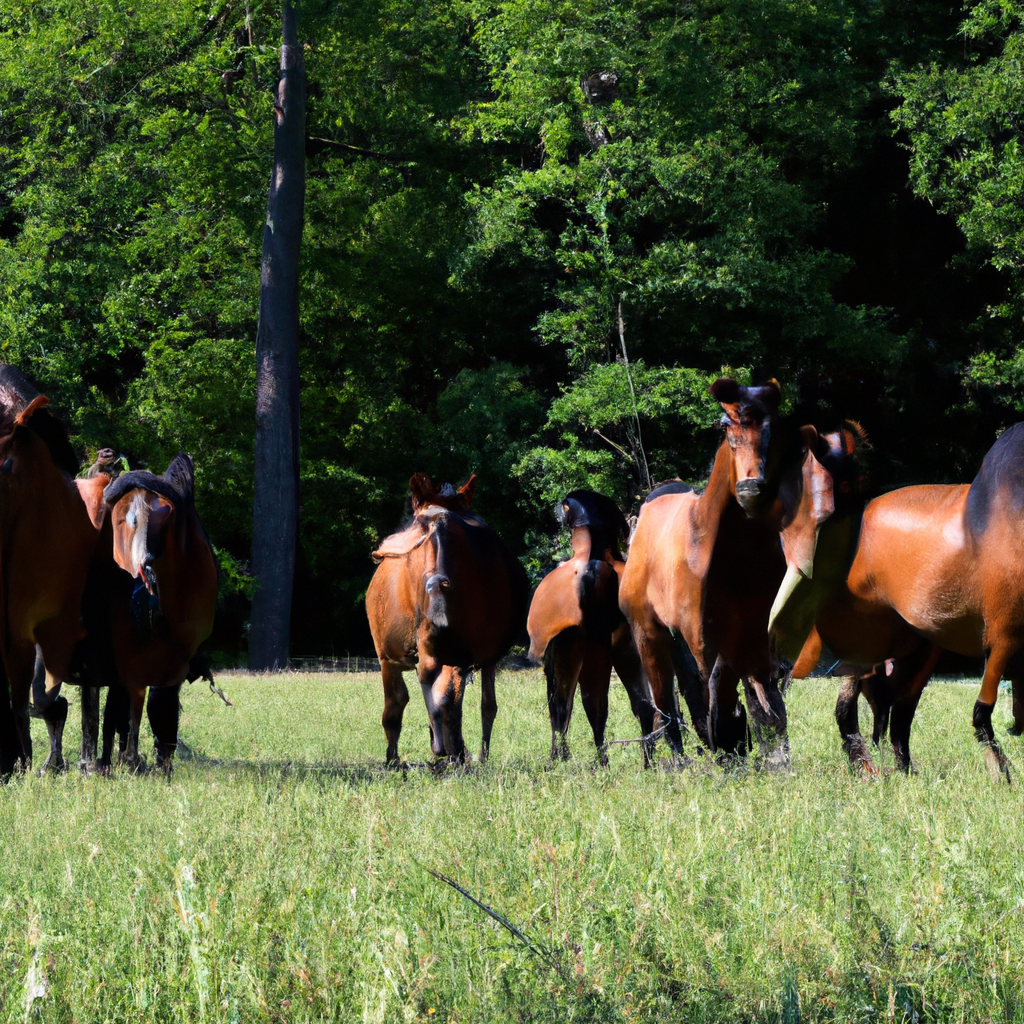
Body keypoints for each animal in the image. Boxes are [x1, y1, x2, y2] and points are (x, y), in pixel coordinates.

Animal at [366, 475, 528, 765]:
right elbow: (483, 705)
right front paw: (473, 753)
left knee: (404, 701)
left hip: (400, 653)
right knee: (446, 697)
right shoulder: (477, 655)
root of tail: (437, 522)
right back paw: (453, 751)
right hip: (449, 651)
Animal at [524, 491, 651, 765]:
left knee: (565, 708)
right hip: (621, 649)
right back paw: (644, 761)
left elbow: (561, 711)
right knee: (636, 704)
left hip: (575, 651)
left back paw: (560, 760)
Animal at [618, 380, 835, 765]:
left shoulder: (758, 634)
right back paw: (675, 760)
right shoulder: (702, 639)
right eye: (725, 426)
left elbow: (761, 697)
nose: (751, 488)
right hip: (648, 632)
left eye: (772, 429)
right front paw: (728, 749)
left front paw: (769, 756)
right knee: (665, 701)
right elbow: (714, 694)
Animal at [770, 419, 1024, 778]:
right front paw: (1002, 774)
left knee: (896, 710)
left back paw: (899, 769)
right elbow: (982, 714)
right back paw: (868, 767)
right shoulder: (1003, 633)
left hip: (919, 647)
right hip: (870, 639)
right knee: (853, 704)